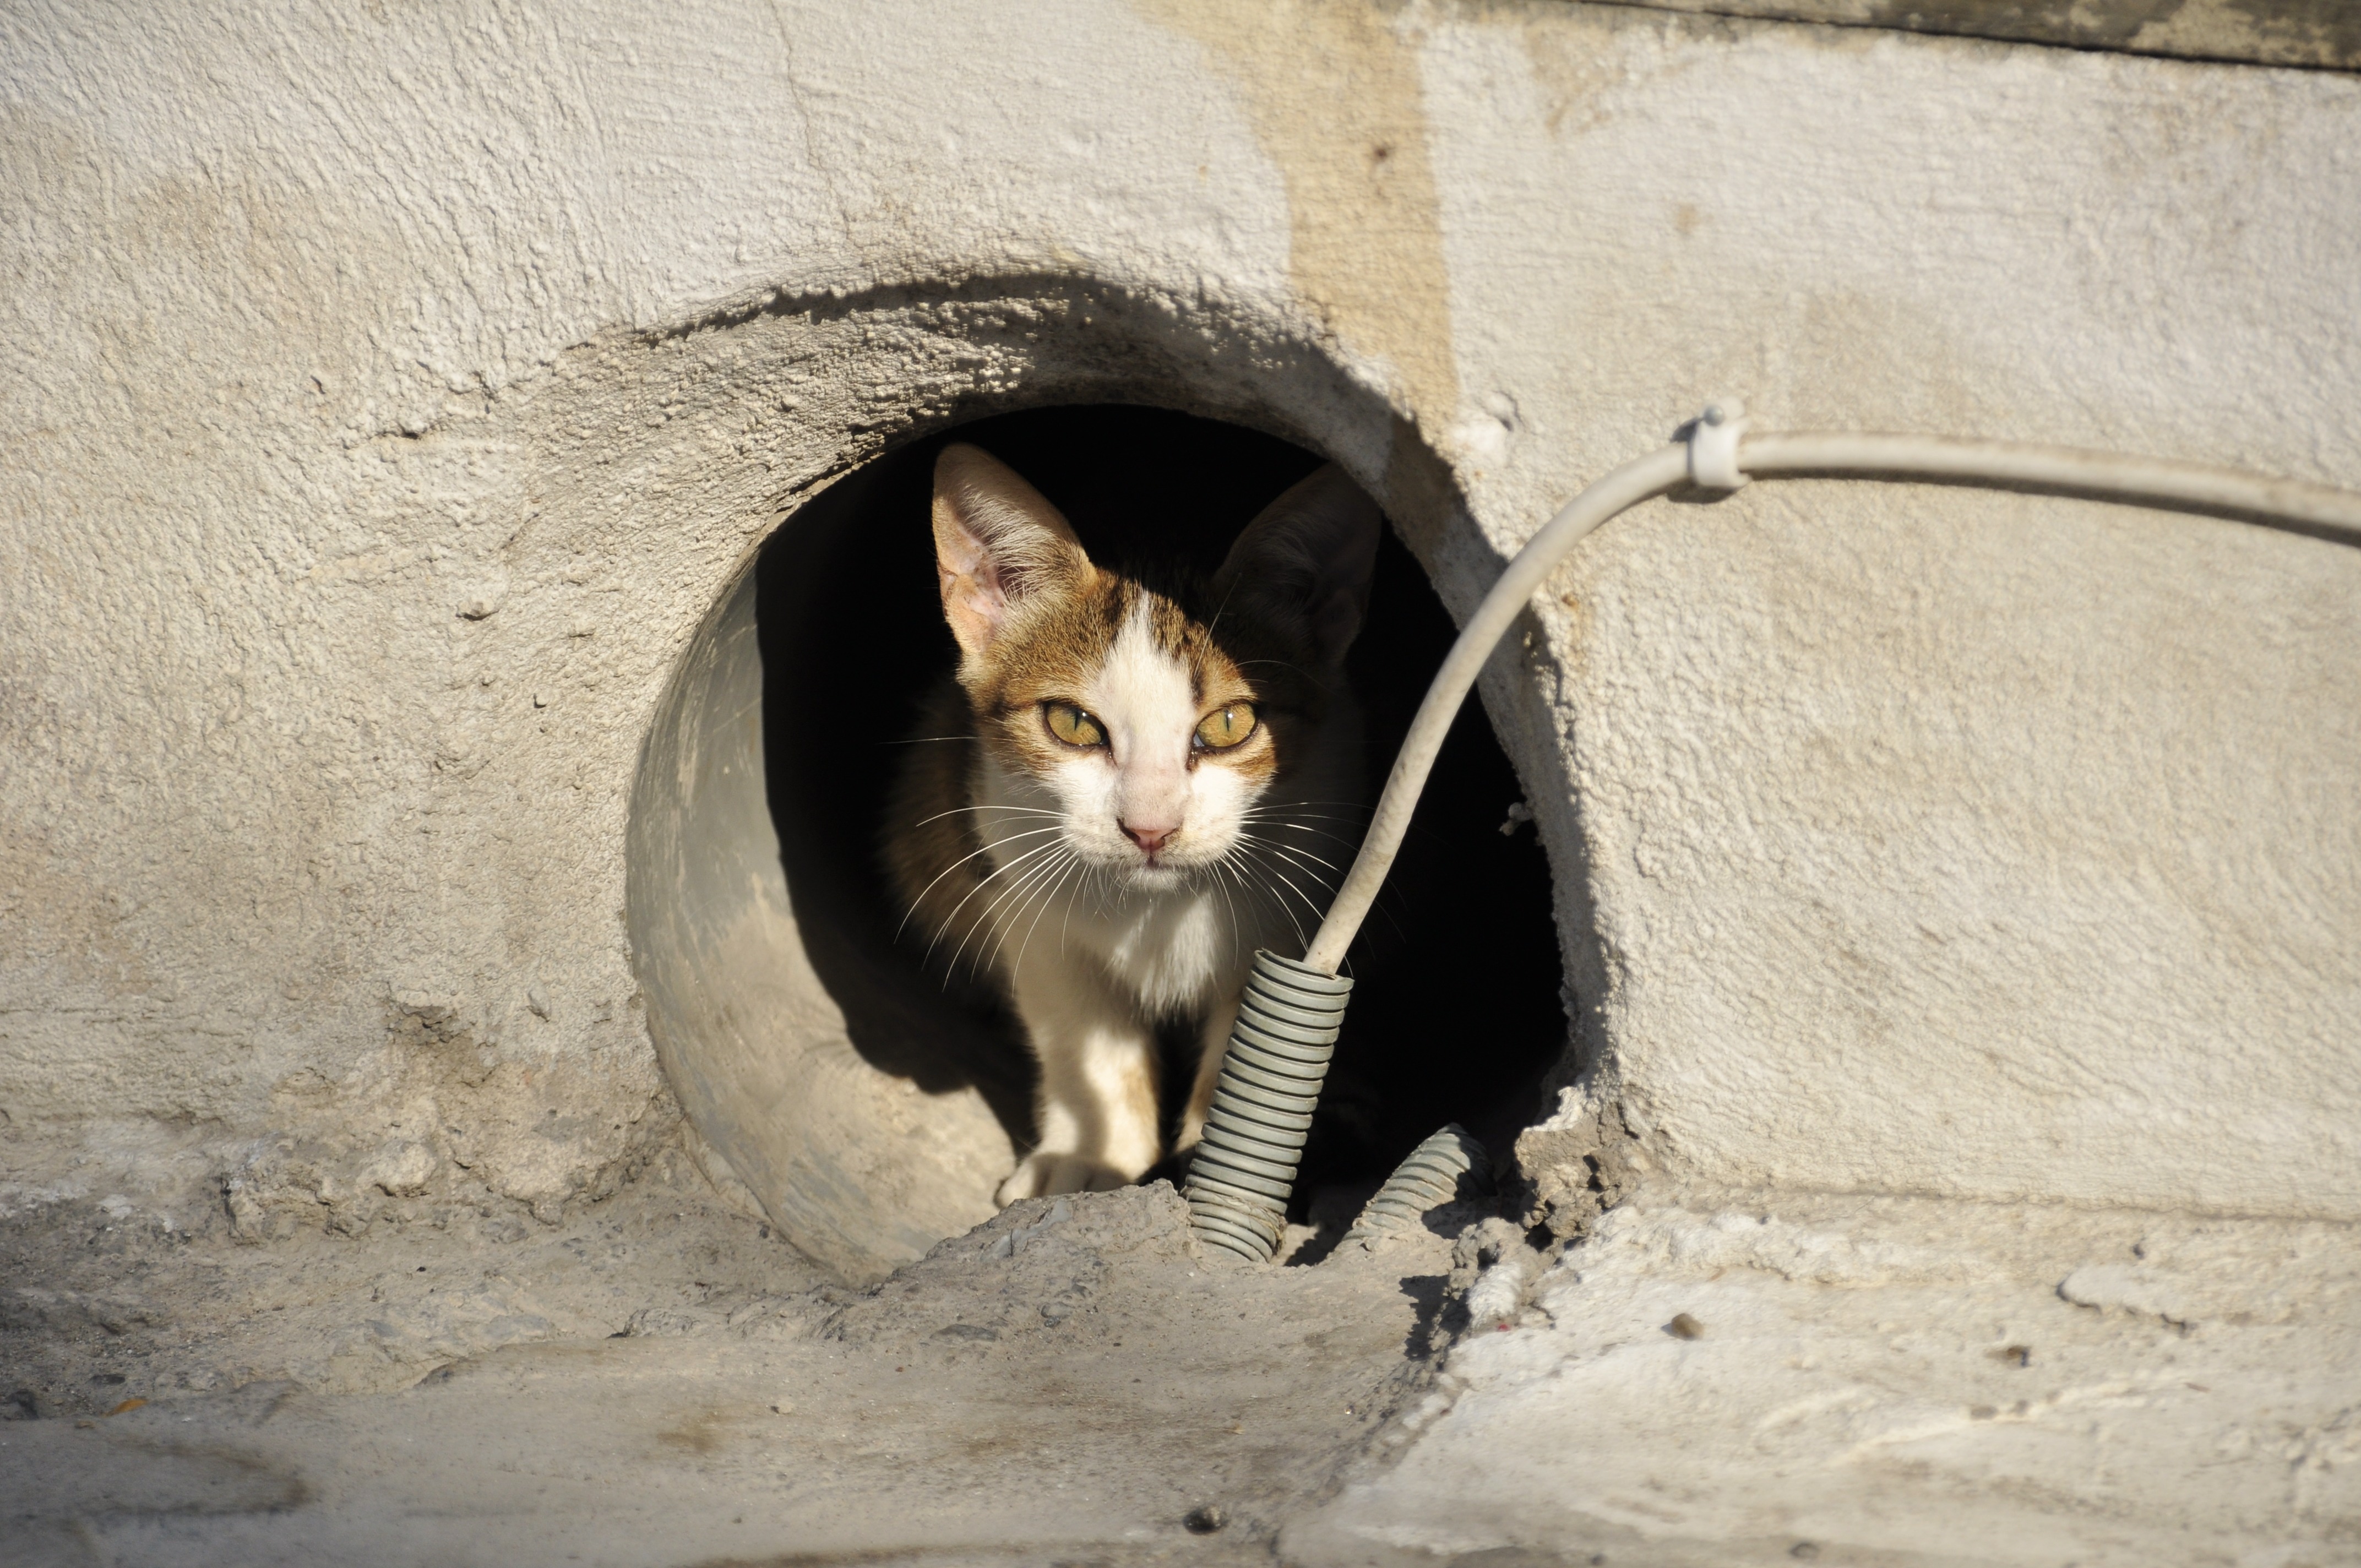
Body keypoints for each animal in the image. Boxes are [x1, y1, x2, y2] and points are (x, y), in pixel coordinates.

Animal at [888, 442, 1379, 1199]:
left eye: (1230, 723)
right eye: (1071, 723)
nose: (1150, 829)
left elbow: (1259, 1036)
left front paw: (1220, 1160)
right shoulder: (1013, 879)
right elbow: (1081, 1030)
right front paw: (1095, 1155)